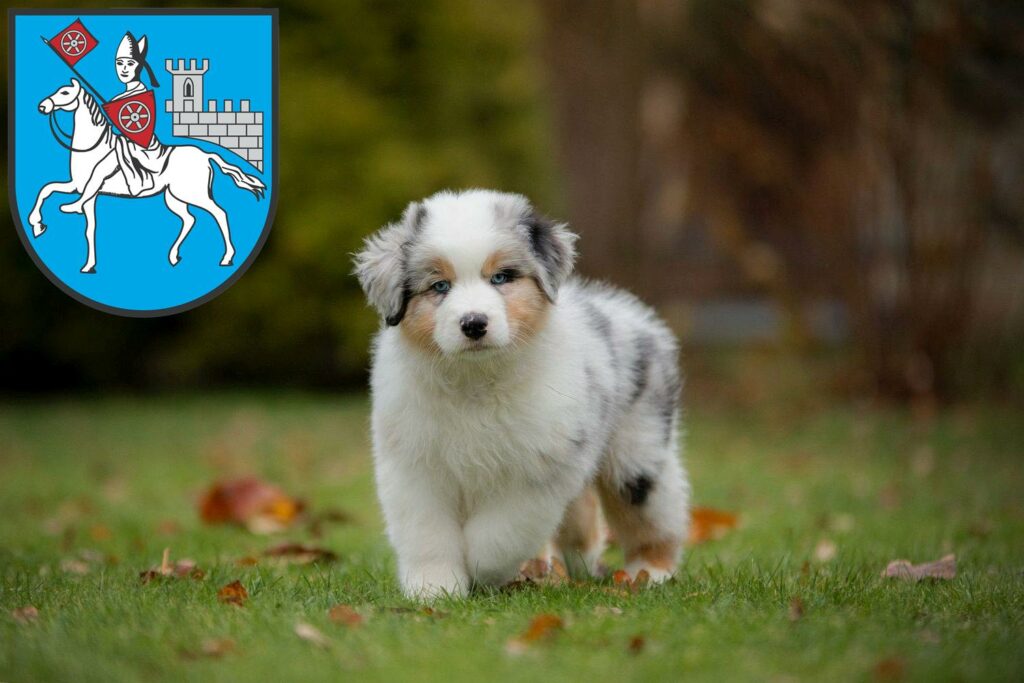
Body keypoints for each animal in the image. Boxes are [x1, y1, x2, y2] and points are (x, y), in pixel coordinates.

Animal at [30, 78, 266, 270]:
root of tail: (206, 155)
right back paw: (174, 257)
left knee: (220, 213)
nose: (42, 106)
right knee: (189, 219)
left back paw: (227, 258)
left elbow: (87, 225)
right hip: (175, 198)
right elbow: (47, 190)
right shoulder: (77, 186)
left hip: (194, 194)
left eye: (64, 93)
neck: (91, 147)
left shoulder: (89, 190)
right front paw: (38, 225)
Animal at [356, 189, 692, 602]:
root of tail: (634, 314)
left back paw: (650, 572)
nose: (474, 324)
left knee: (655, 516)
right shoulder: (415, 466)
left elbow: (500, 532)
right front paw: (434, 590)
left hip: (638, 455)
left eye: (501, 277)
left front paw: (481, 569)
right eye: (440, 286)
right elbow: (427, 534)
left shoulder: (539, 469)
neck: (476, 381)